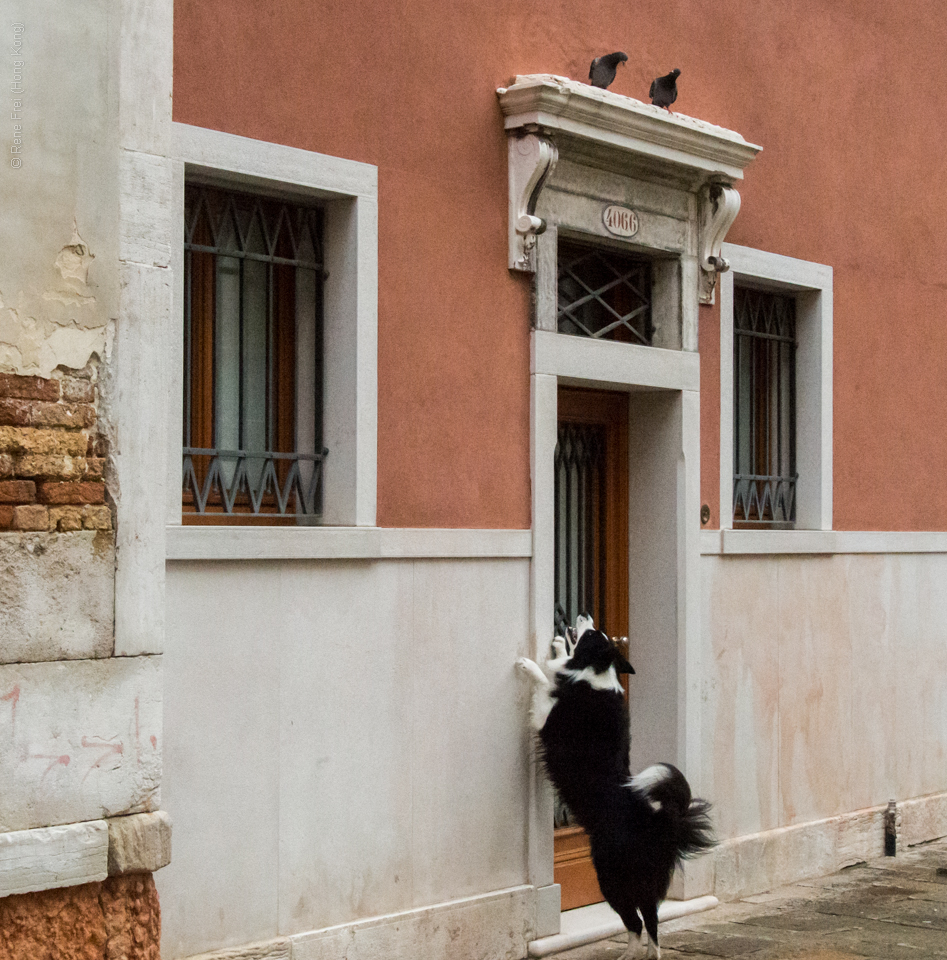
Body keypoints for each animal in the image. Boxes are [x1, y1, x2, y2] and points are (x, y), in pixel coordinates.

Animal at [520, 616, 712, 960]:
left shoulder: (546, 719)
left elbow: (544, 684)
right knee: (651, 919)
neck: (595, 676)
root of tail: (658, 825)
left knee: (636, 920)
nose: (585, 615)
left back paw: (632, 954)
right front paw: (558, 645)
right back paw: (647, 954)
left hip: (611, 880)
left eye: (592, 634)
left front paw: (530, 666)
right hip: (640, 884)